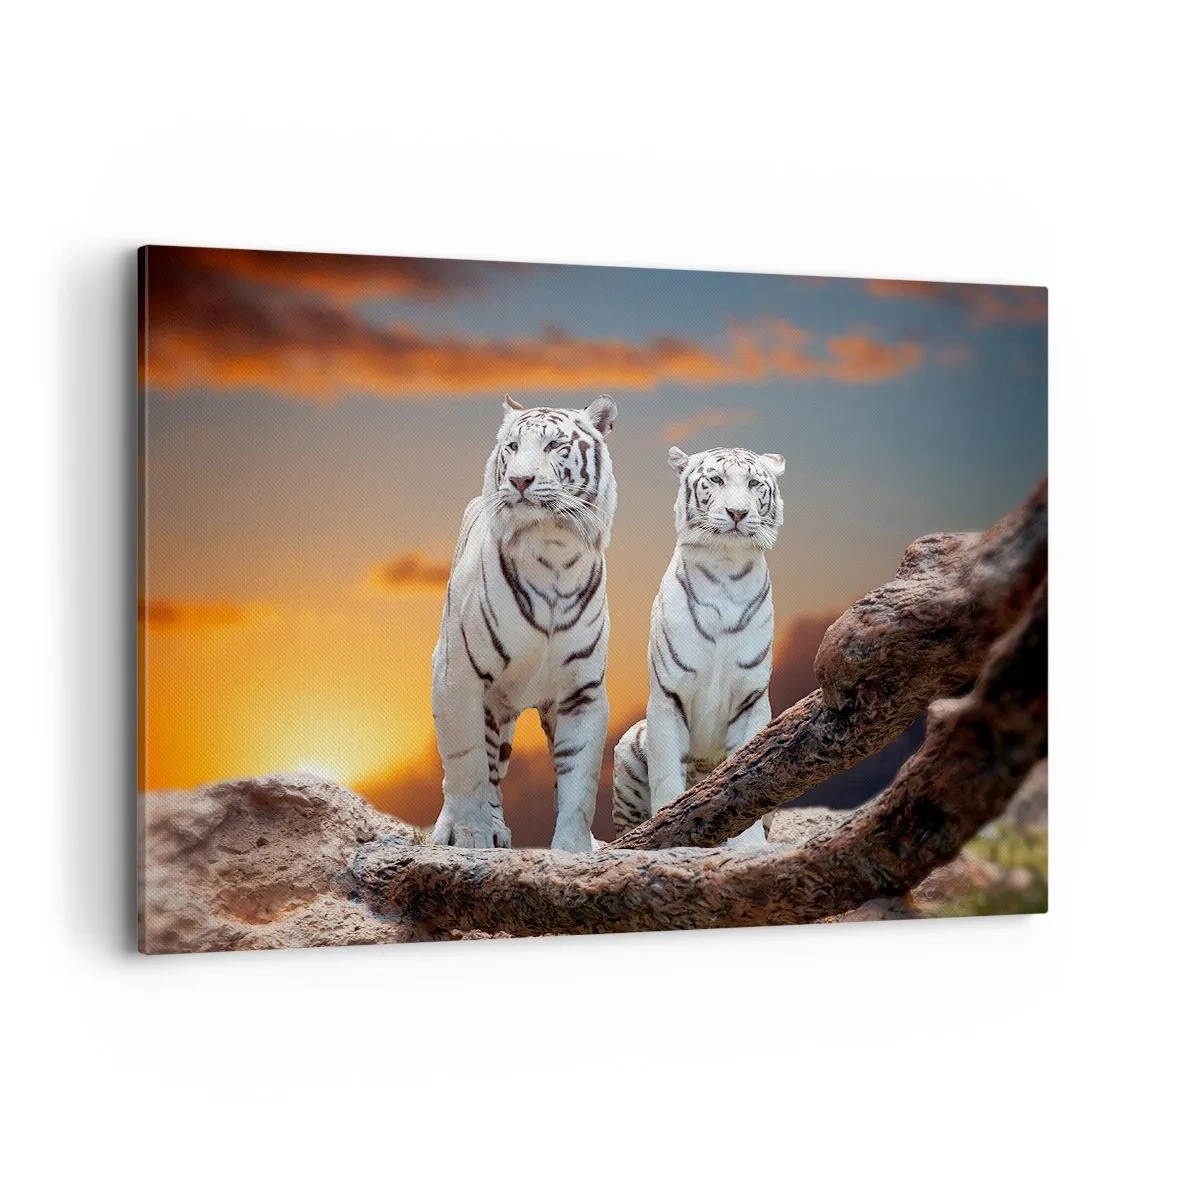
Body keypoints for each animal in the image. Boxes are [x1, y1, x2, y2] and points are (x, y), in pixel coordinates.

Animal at [430, 394, 618, 852]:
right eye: (512, 447)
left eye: (554, 446)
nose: (519, 480)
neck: (553, 549)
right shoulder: (456, 676)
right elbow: (466, 767)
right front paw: (470, 837)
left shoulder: (582, 692)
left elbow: (580, 781)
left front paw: (573, 850)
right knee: (483, 769)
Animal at [612, 444, 785, 846]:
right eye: (716, 480)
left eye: (754, 484)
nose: (737, 512)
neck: (725, 568)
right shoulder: (667, 695)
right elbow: (666, 777)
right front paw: (665, 831)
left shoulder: (752, 698)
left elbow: (748, 774)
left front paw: (748, 845)